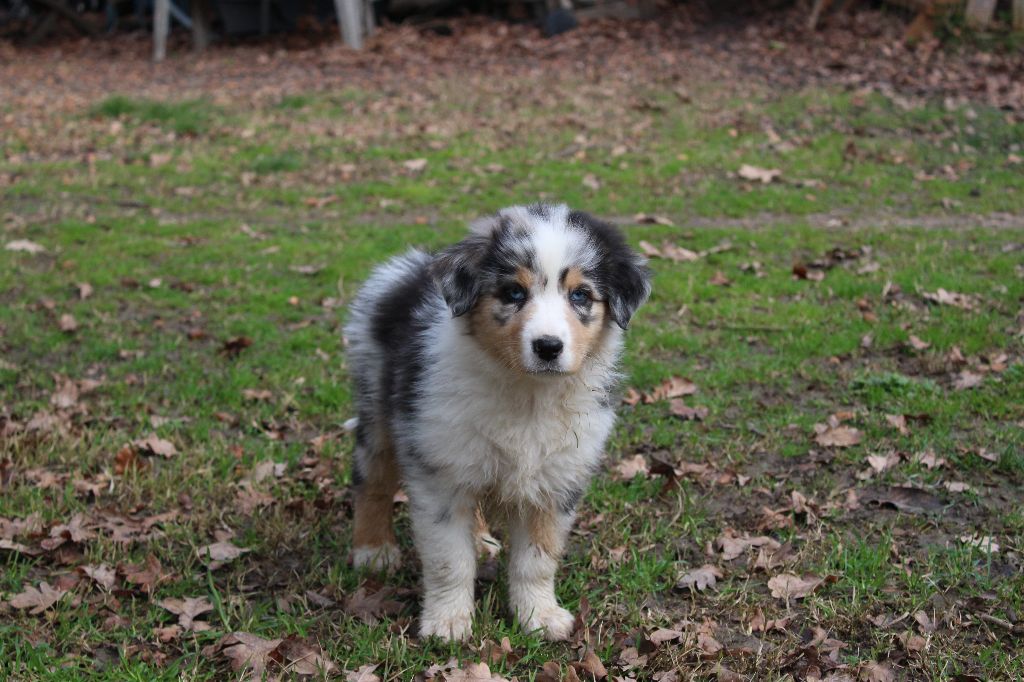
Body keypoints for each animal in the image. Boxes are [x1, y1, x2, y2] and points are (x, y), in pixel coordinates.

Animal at [342, 201, 647, 638]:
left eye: (581, 295)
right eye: (514, 292)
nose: (548, 347)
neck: (528, 395)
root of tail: (409, 273)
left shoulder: (555, 481)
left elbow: (537, 559)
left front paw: (539, 616)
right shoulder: (441, 473)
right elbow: (449, 559)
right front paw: (448, 622)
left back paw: (482, 540)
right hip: (378, 407)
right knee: (372, 480)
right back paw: (373, 550)